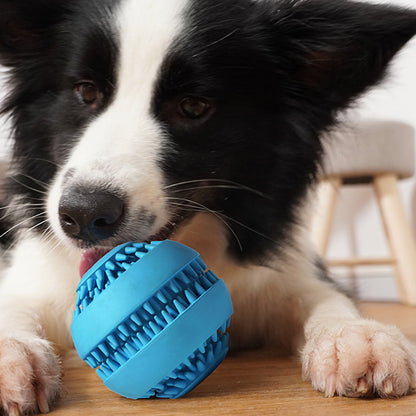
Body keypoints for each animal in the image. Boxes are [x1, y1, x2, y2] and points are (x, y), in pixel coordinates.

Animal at [0, 0, 416, 414]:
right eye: (85, 92)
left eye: (192, 106)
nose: (84, 215)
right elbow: (13, 308)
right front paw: (12, 356)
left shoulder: (287, 272)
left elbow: (323, 296)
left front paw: (358, 335)